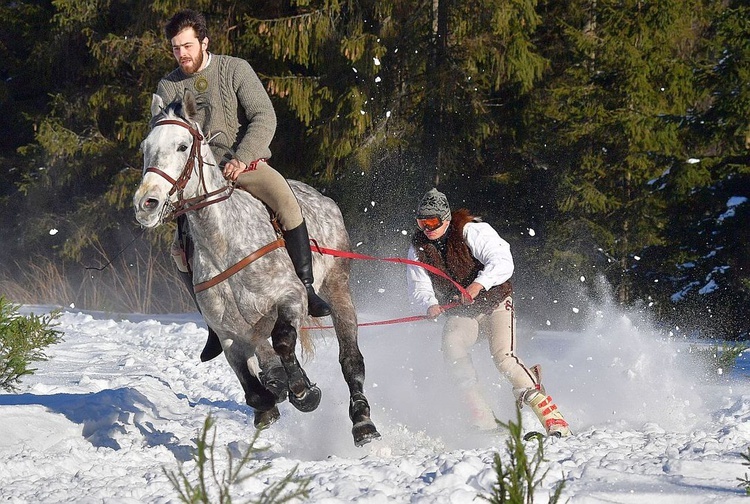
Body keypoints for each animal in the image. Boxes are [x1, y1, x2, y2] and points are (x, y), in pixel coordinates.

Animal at [132, 92, 382, 446]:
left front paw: (304, 392)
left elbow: (284, 342)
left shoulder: (290, 299)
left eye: (182, 146)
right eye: (145, 147)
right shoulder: (228, 334)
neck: (224, 246)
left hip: (338, 289)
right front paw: (271, 400)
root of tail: (325, 200)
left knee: (350, 359)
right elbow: (253, 388)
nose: (146, 204)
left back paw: (362, 422)